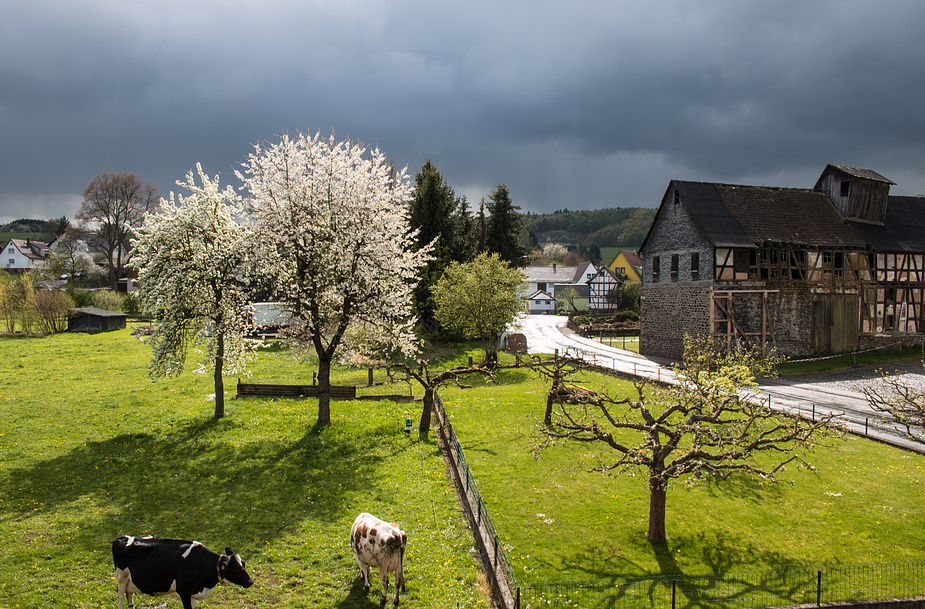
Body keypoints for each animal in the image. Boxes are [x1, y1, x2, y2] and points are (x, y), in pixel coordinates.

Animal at [111, 536, 253, 604]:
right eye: (236, 569)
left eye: (244, 564)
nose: (250, 581)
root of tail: (121, 538)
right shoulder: (183, 591)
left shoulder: (195, 593)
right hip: (121, 578)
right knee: (120, 598)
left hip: (130, 582)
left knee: (129, 596)